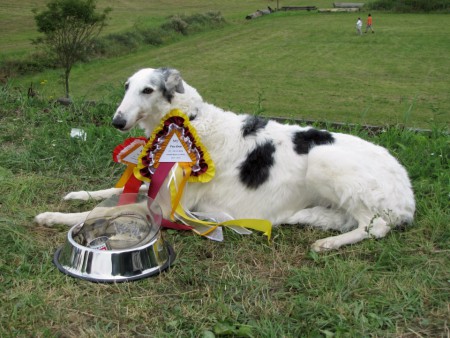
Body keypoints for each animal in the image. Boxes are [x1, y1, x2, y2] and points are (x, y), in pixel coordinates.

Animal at [35, 67, 414, 251]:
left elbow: (102, 212)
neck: (188, 122)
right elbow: (108, 193)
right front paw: (76, 195)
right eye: (126, 87)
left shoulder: (170, 204)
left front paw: (54, 216)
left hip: (325, 160)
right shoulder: (158, 184)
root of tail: (406, 193)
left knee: (376, 226)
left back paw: (329, 243)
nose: (117, 121)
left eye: (147, 89)